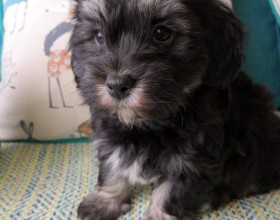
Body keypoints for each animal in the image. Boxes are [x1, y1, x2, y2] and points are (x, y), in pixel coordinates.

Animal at [69, 0, 280, 219]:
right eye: (99, 36)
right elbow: (111, 168)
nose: (118, 85)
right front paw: (103, 201)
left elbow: (170, 193)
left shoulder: (194, 160)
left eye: (162, 33)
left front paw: (158, 213)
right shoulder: (110, 136)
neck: (148, 124)